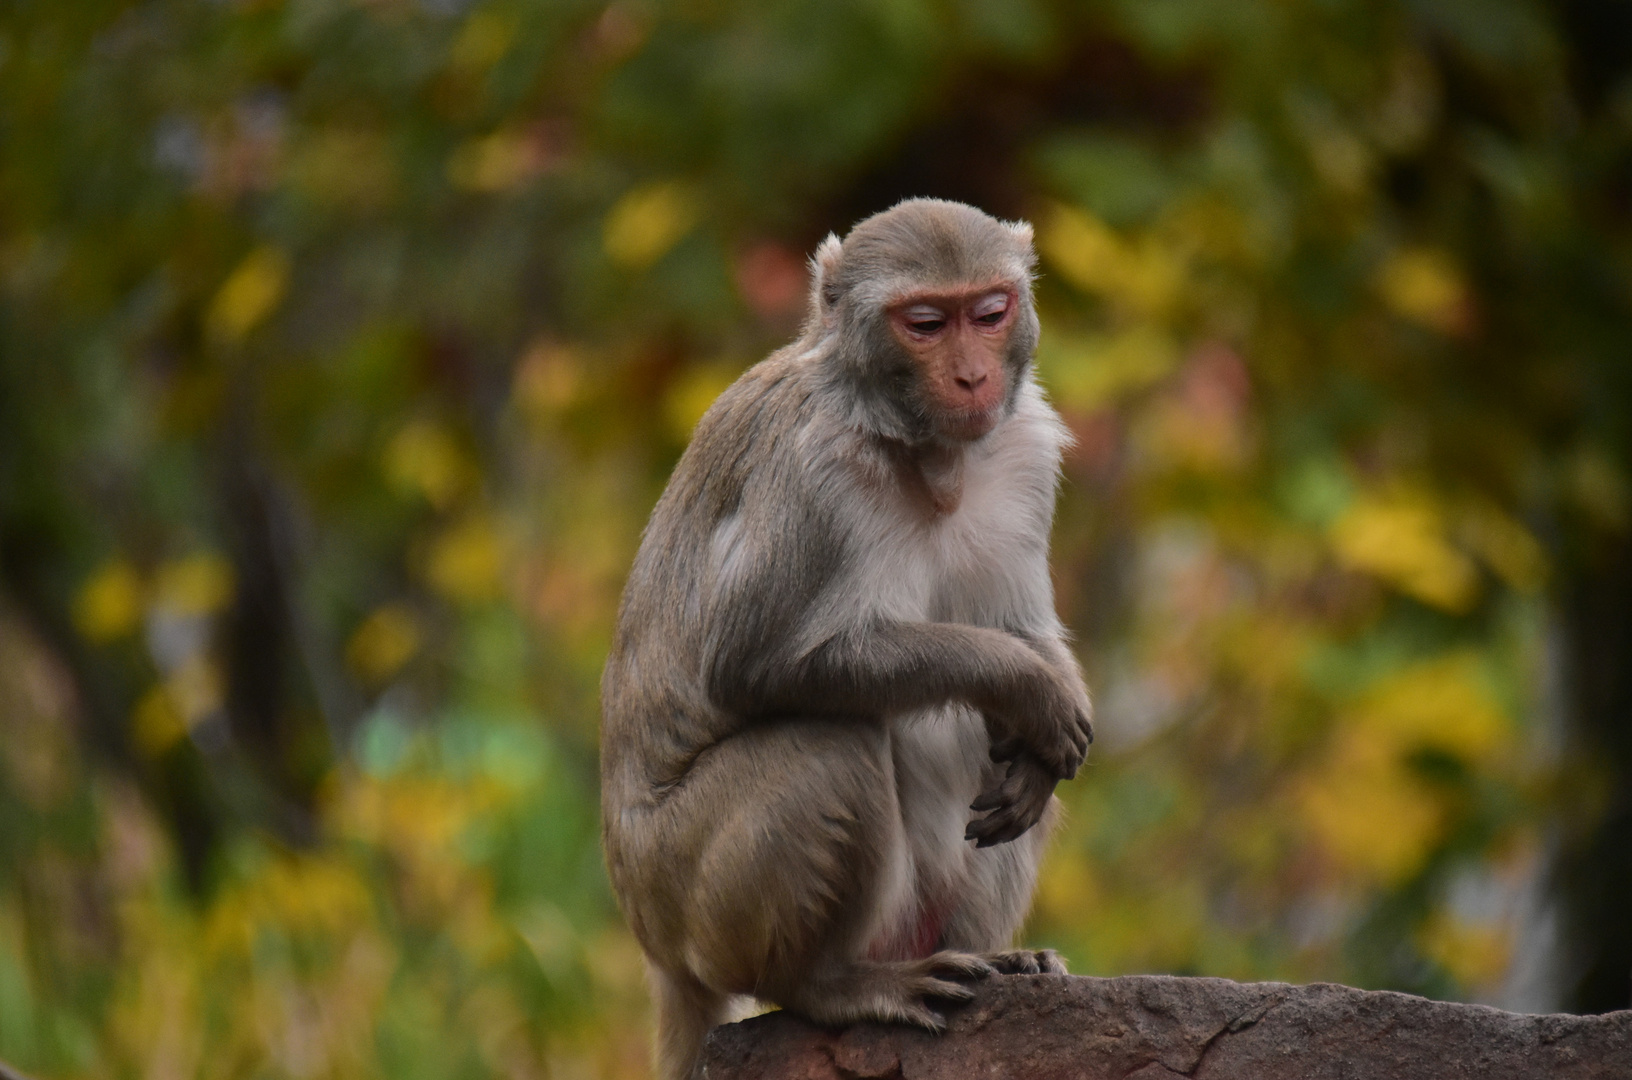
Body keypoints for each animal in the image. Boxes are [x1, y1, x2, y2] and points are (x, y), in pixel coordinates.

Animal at [603, 199, 1096, 1076]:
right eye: (925, 323)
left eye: (990, 312)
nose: (972, 377)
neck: (925, 452)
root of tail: (654, 949)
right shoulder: (812, 469)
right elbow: (756, 665)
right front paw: (1024, 684)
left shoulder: (1025, 450)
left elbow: (1022, 630)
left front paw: (1045, 713)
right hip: (686, 901)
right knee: (826, 746)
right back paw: (829, 985)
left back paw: (995, 956)